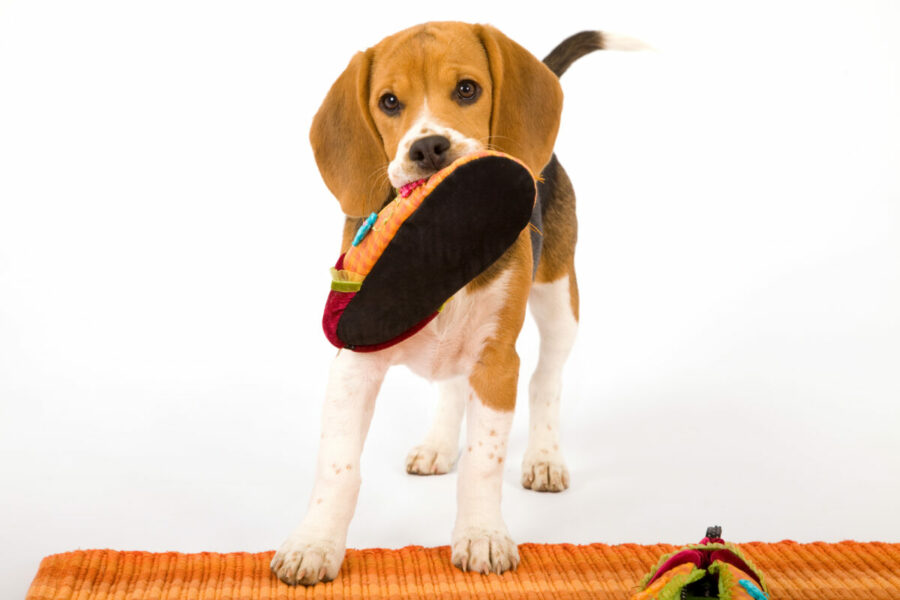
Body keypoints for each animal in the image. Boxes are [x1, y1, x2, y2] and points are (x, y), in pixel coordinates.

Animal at [274, 21, 624, 584]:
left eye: (466, 89)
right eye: (389, 101)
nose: (430, 147)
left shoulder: (498, 362)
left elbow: (483, 462)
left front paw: (481, 536)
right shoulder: (354, 364)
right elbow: (338, 467)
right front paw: (315, 543)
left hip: (558, 299)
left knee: (546, 379)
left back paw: (544, 458)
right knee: (452, 385)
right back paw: (438, 443)